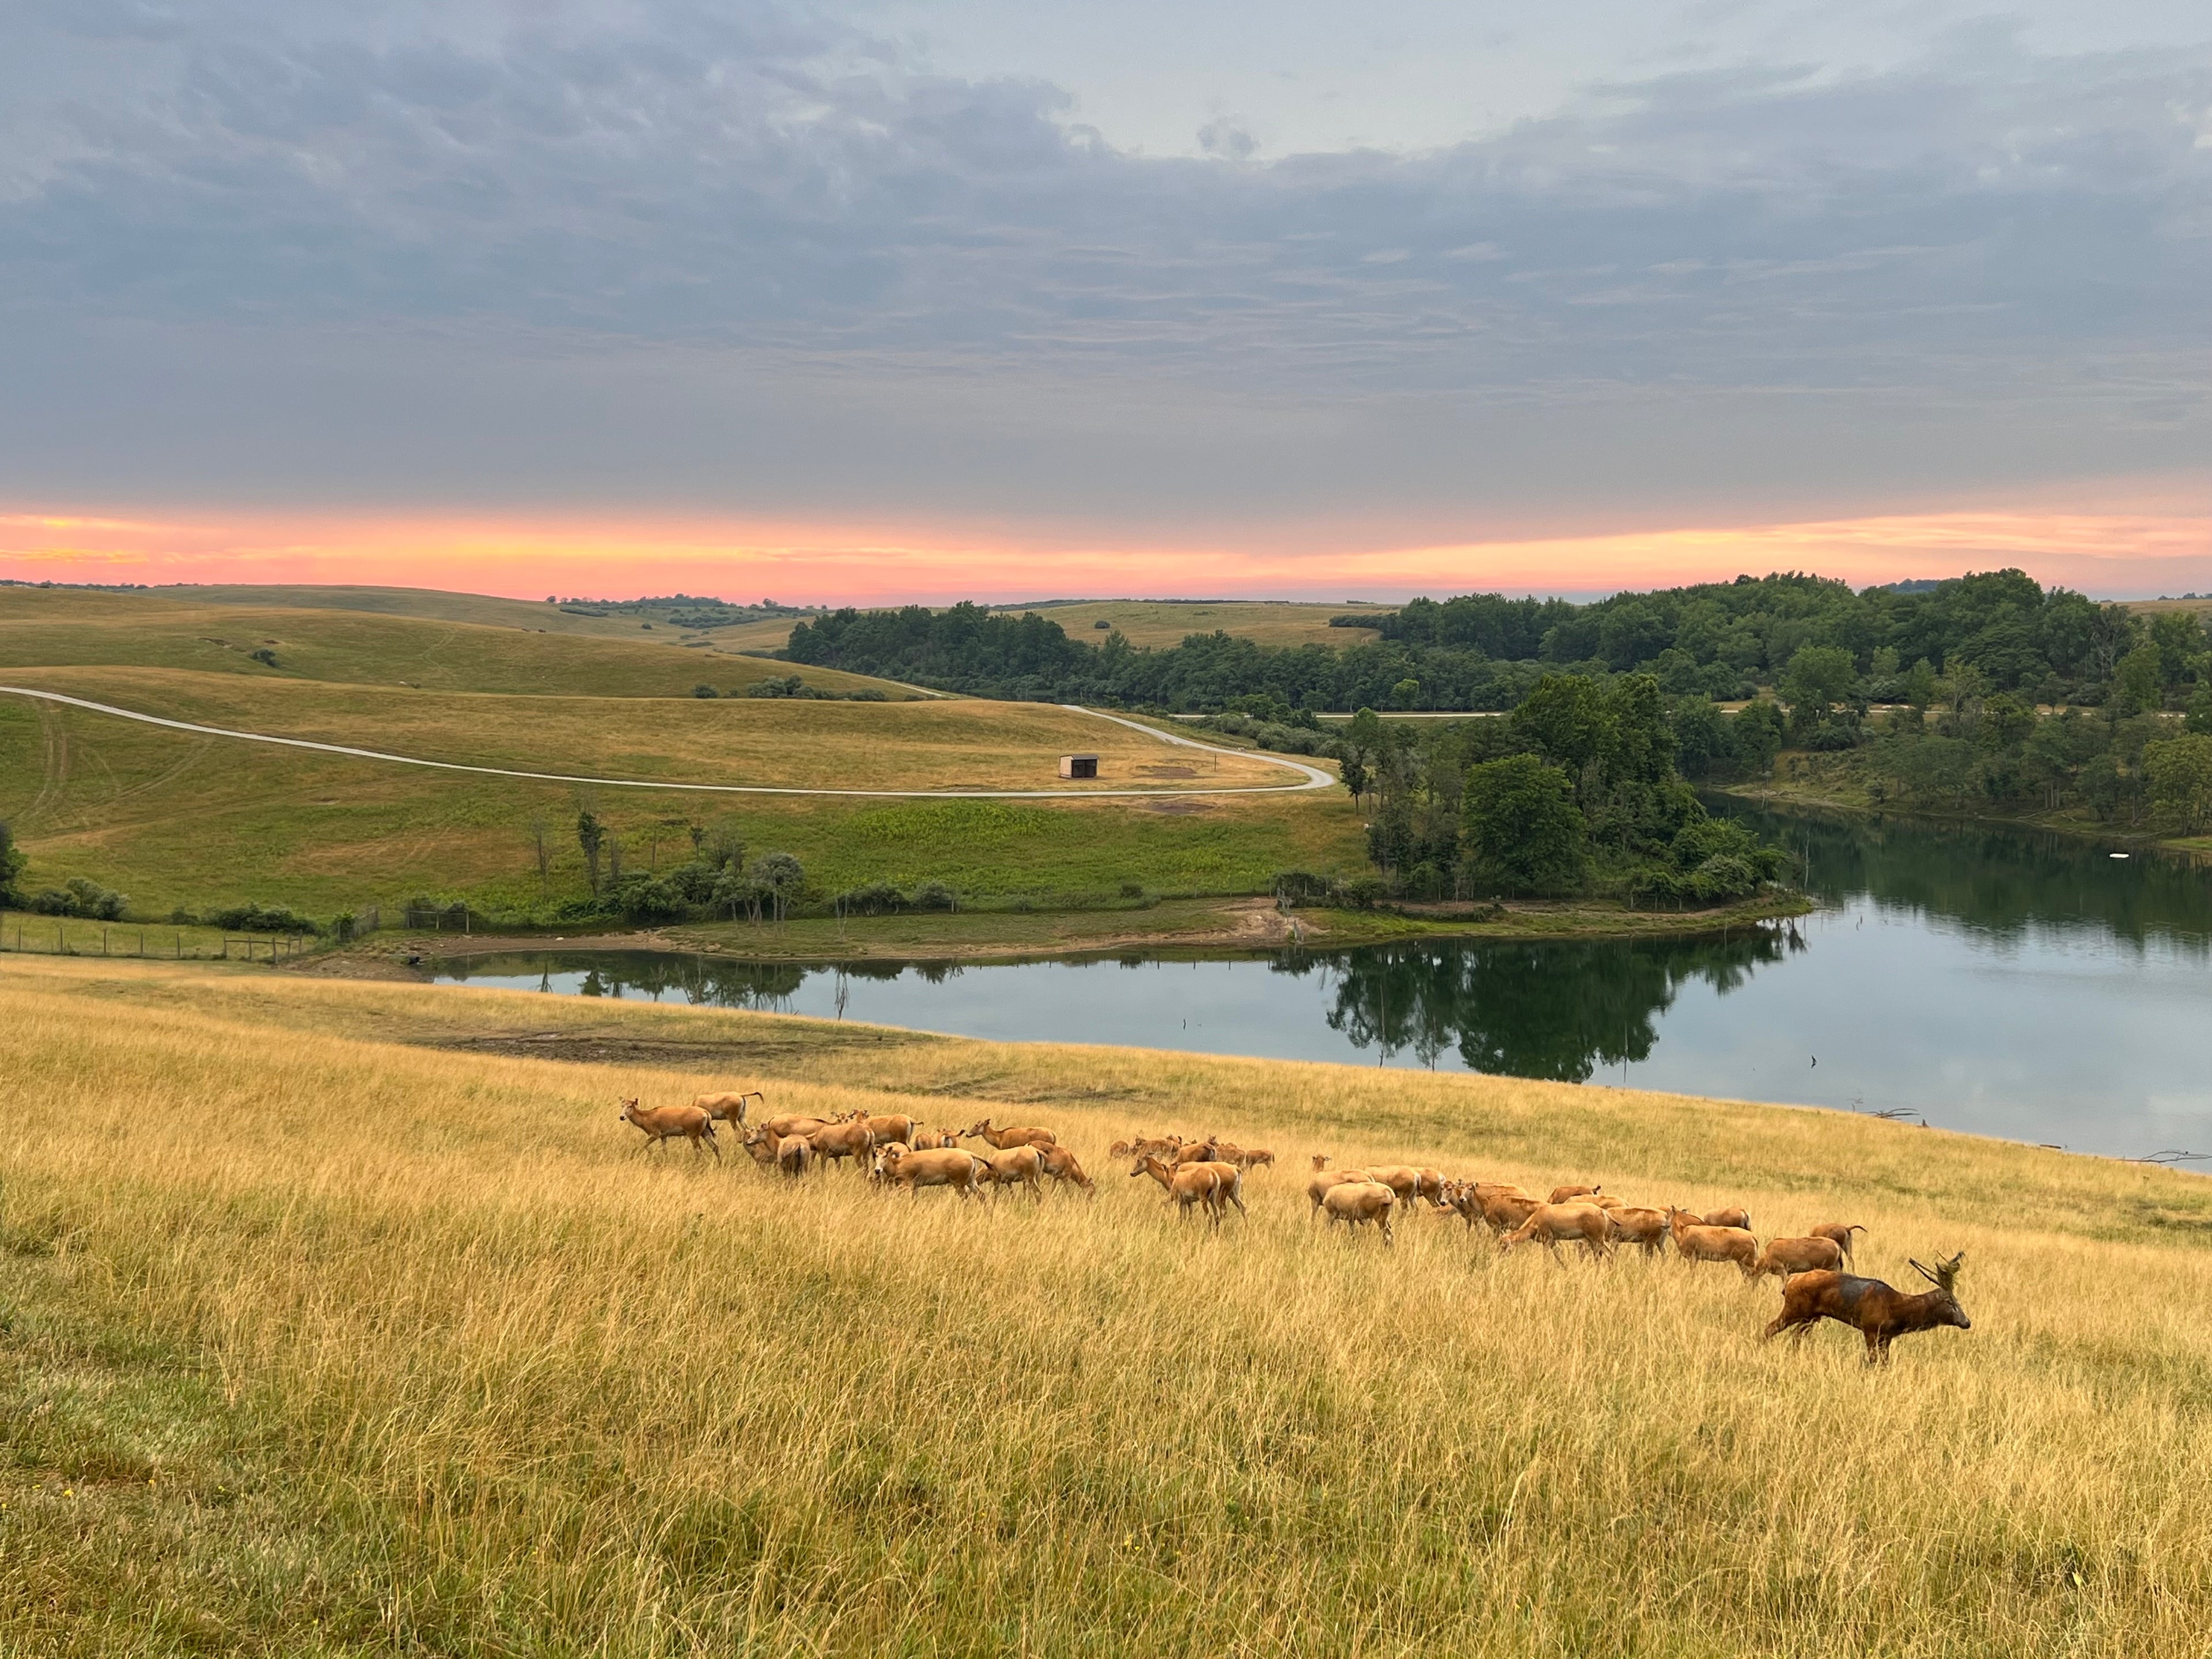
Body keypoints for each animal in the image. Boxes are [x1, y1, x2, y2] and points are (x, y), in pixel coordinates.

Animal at [618, 1098, 719, 1161]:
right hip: (705, 1133)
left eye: (630, 1106)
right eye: (622, 1105)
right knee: (715, 1147)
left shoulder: (656, 1135)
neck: (647, 1116)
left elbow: (645, 1145)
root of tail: (705, 1113)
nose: (622, 1117)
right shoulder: (664, 1137)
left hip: (693, 1136)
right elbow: (665, 1150)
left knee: (699, 1150)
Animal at [1763, 1252, 1970, 1364]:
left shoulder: (1887, 1337)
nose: (1967, 1322)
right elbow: (1873, 1361)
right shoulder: (1870, 1329)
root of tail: (1789, 1282)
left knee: (1795, 1336)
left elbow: (1885, 1363)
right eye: (1950, 1301)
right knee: (1769, 1328)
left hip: (1811, 1316)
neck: (1896, 1310)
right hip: (1794, 1309)